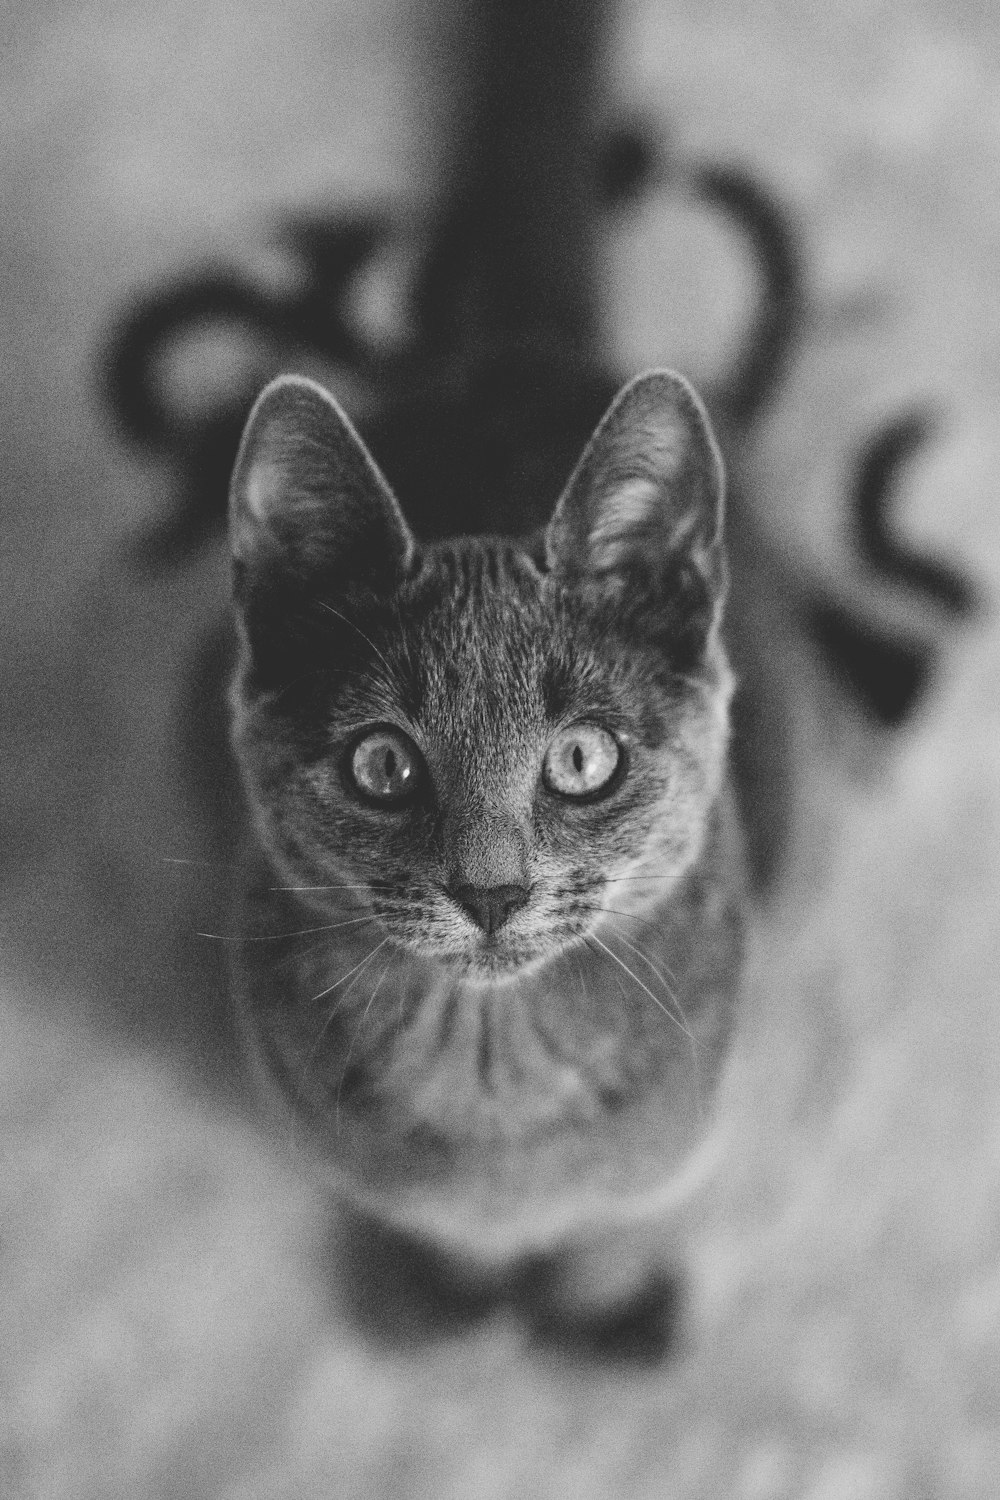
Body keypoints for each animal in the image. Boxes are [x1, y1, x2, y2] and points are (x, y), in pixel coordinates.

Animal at [226, 366, 743, 1350]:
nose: (492, 891)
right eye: (382, 764)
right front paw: (459, 1302)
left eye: (582, 758)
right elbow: (445, 1226)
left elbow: (614, 1224)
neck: (491, 1056)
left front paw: (596, 1310)